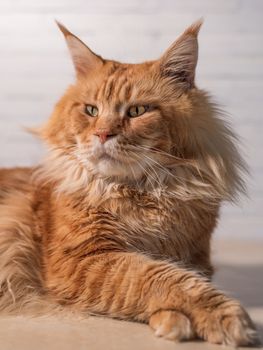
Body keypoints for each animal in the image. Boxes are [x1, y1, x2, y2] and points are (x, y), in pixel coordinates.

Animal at [0, 20, 260, 346]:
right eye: (91, 110)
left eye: (137, 111)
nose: (102, 134)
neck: (144, 193)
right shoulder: (82, 260)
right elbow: (156, 276)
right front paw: (221, 317)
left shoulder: (196, 256)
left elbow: (177, 274)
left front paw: (172, 318)